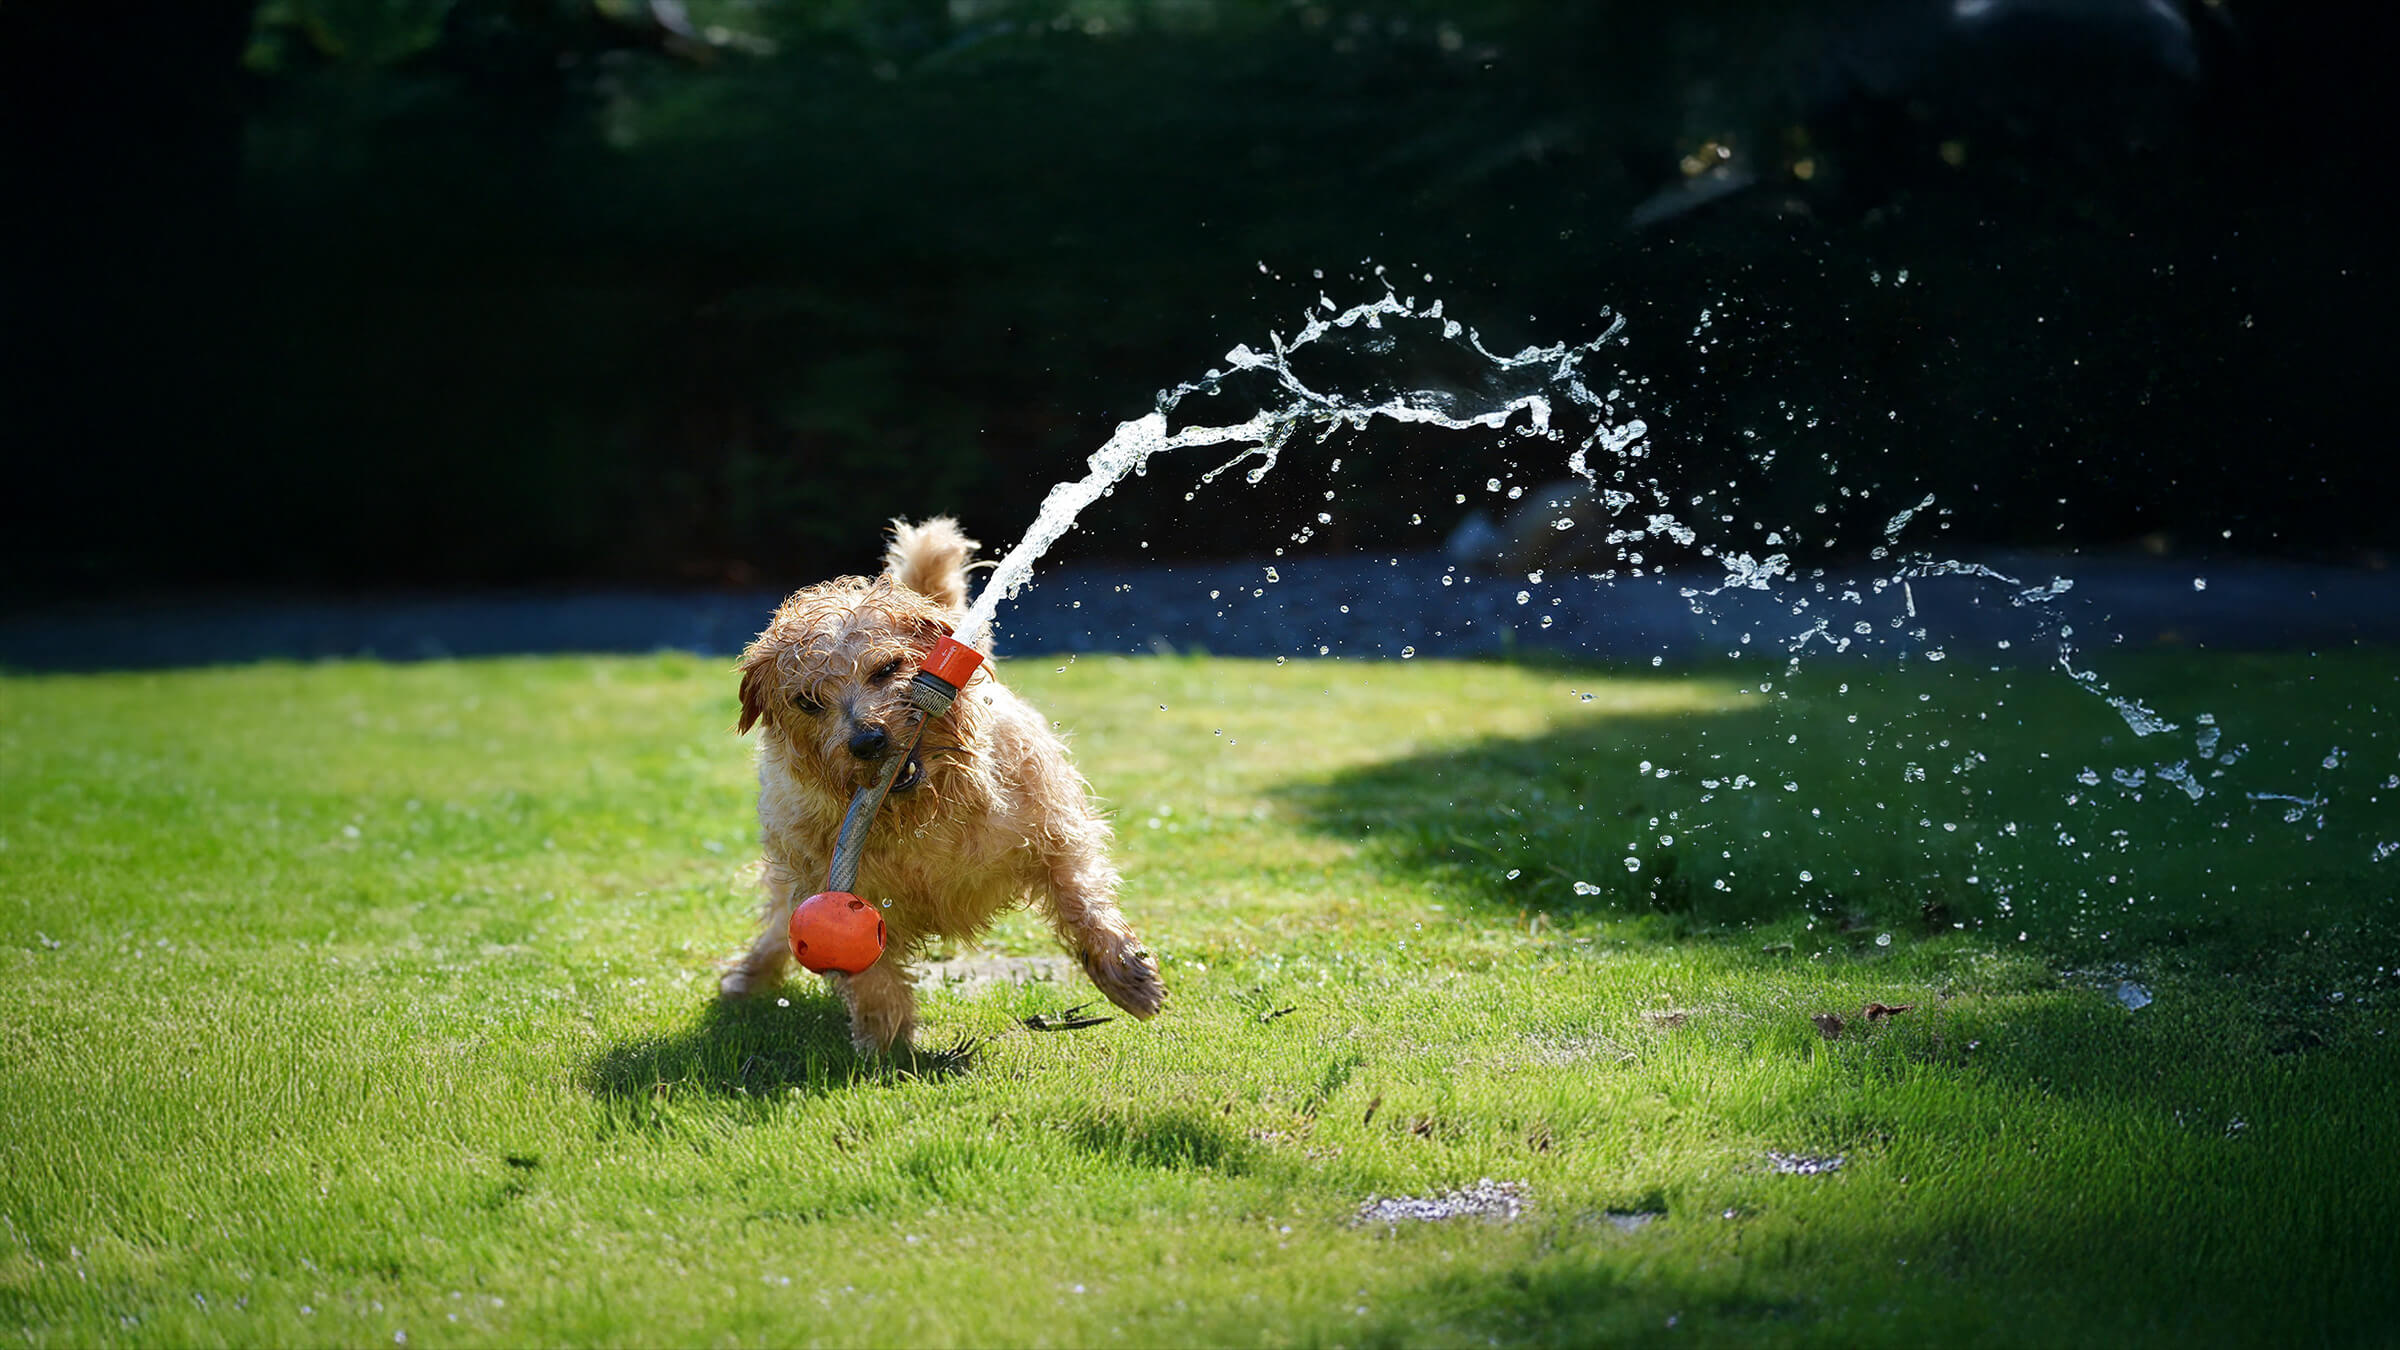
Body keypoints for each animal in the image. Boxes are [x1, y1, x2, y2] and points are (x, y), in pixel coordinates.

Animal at [710, 514, 1161, 1052]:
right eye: (807, 701)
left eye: (888, 668)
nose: (867, 741)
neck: (925, 814)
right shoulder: (830, 884)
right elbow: (870, 974)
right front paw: (885, 1043)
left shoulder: (1055, 831)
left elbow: (1080, 895)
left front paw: (1124, 970)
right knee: (779, 924)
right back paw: (747, 977)